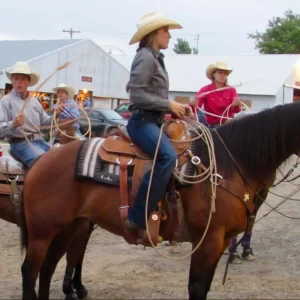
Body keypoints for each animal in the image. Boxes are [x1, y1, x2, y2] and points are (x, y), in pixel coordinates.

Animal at [20, 102, 300, 298]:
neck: (229, 163)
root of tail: (42, 160)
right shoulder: (208, 240)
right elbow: (197, 288)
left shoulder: (221, 241)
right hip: (43, 232)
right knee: (30, 271)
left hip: (68, 227)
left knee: (47, 269)